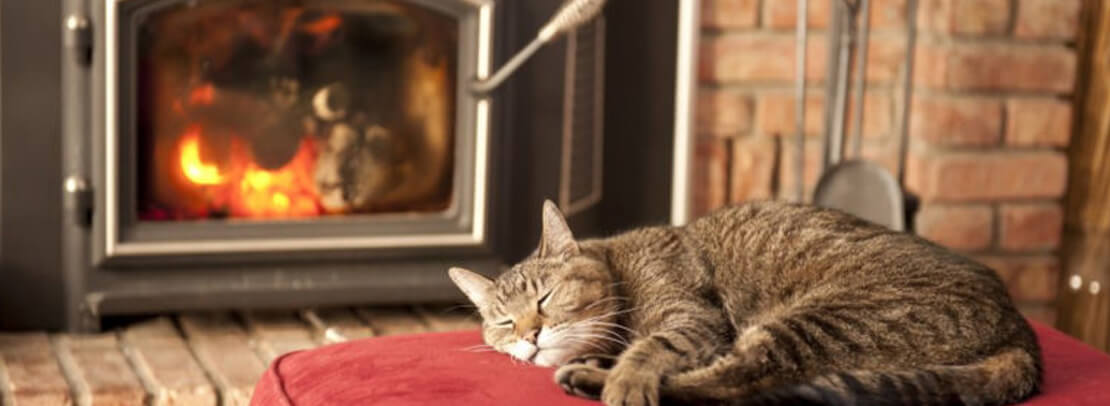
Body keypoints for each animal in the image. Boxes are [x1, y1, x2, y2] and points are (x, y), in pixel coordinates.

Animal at [448, 199, 1038, 406]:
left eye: (546, 298)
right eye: (504, 322)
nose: (529, 335)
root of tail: (1019, 326)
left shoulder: (691, 319)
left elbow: (650, 352)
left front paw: (622, 376)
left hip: (816, 320)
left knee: (734, 383)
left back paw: (594, 381)